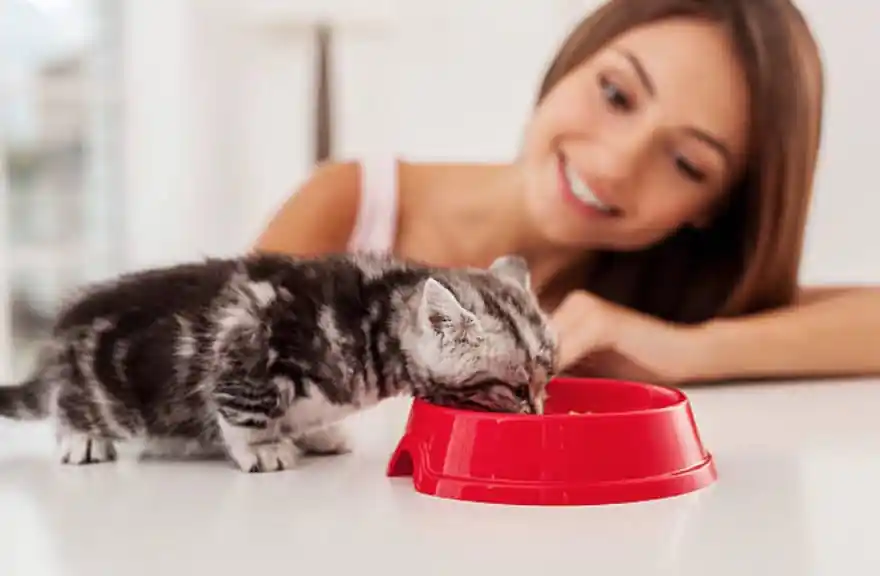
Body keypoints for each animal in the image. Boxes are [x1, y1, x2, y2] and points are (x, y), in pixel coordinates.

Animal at [0, 252, 556, 472]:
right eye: (515, 387)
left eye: (546, 379)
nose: (538, 414)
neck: (373, 320)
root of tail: (59, 338)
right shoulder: (245, 343)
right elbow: (246, 409)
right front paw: (263, 448)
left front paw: (315, 433)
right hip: (106, 394)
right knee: (68, 404)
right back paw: (83, 438)